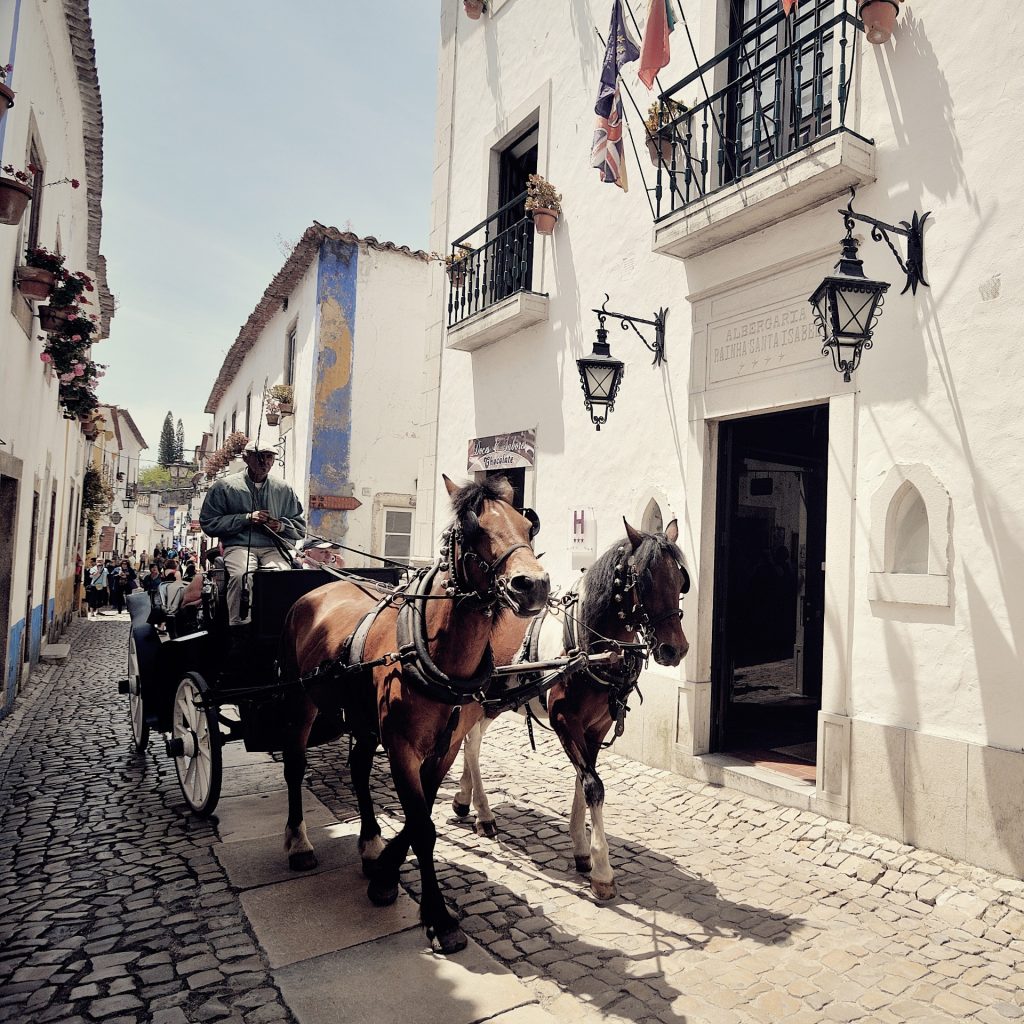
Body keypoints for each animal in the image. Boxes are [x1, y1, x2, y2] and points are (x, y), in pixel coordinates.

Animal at [278, 474, 549, 954]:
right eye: (472, 528)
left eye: (527, 526)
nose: (532, 585)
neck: (439, 655)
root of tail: (316, 590)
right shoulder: (402, 745)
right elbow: (422, 826)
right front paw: (440, 918)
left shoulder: (445, 748)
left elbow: (417, 814)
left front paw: (385, 870)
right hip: (301, 700)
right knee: (295, 764)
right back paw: (299, 842)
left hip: (363, 717)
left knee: (358, 767)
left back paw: (370, 841)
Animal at [452, 518, 689, 899]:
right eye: (644, 579)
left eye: (681, 581)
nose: (675, 649)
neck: (591, 646)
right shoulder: (565, 720)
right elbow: (593, 785)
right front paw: (603, 870)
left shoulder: (597, 726)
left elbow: (584, 779)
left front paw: (581, 848)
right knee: (471, 744)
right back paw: (484, 813)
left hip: (493, 701)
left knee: (471, 742)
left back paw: (464, 797)